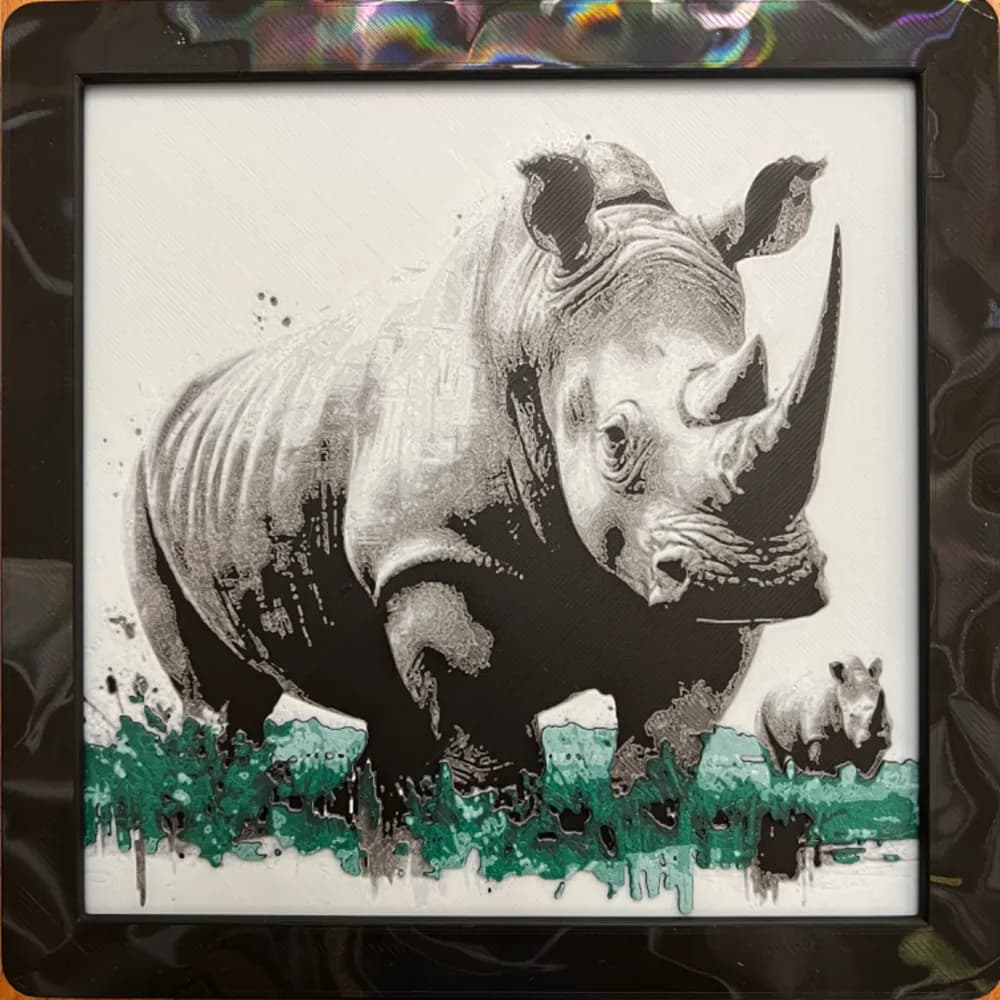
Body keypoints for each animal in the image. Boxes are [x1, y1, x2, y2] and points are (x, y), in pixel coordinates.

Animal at [127, 141, 841, 810]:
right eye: (614, 439)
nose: (757, 578)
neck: (536, 322)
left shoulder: (679, 575)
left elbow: (665, 745)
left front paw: (641, 835)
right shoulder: (434, 554)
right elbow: (492, 745)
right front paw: (505, 838)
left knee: (385, 703)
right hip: (147, 486)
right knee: (223, 698)